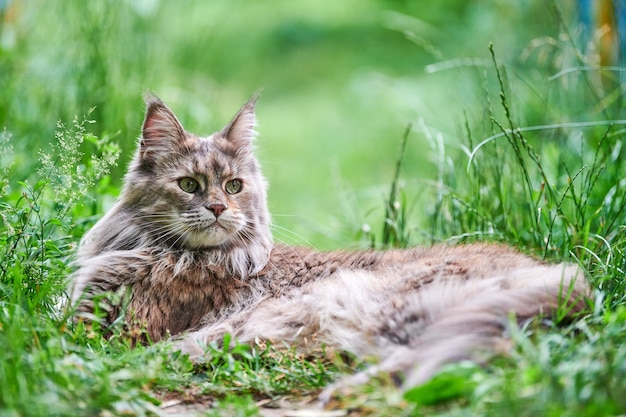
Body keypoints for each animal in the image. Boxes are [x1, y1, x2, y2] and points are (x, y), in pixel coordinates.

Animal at [70, 92, 588, 392]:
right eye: (189, 185)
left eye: (234, 186)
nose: (218, 208)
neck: (159, 250)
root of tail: (569, 278)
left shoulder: (114, 322)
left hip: (377, 304)